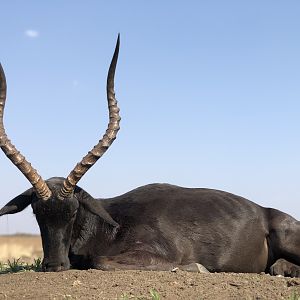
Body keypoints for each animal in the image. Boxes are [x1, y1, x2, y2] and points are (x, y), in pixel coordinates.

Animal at [0, 35, 300, 276]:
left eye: (73, 210)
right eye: (37, 212)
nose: (53, 265)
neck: (108, 224)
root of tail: (265, 212)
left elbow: (100, 261)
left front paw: (198, 267)